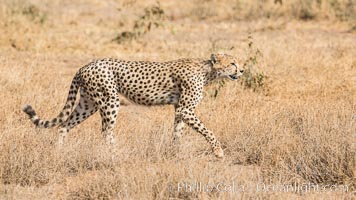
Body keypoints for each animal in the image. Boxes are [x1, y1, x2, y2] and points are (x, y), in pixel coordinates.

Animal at [23, 53, 245, 158]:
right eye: (232, 63)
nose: (242, 70)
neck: (208, 71)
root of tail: (85, 66)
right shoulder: (185, 108)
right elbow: (207, 130)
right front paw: (218, 151)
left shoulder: (180, 109)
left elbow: (178, 131)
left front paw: (175, 152)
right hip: (110, 101)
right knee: (106, 131)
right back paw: (115, 156)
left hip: (88, 104)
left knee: (64, 125)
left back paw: (59, 151)